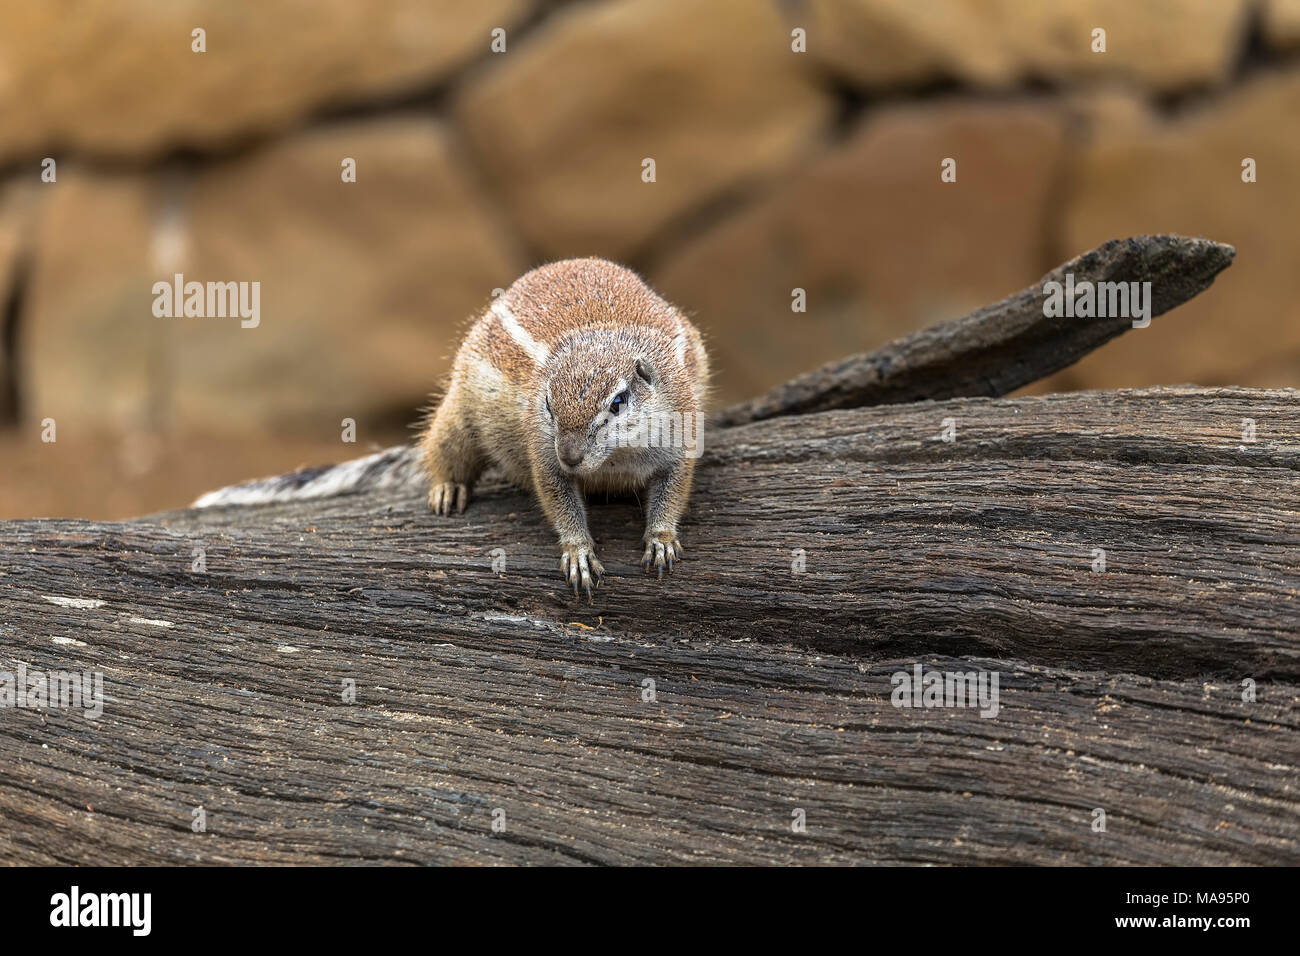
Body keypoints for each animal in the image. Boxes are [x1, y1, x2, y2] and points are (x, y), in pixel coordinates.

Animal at [418, 258, 709, 598]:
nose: (569, 457)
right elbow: (559, 501)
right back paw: (448, 488)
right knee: (447, 447)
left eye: (618, 402)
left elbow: (672, 490)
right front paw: (578, 552)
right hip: (460, 411)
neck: (616, 459)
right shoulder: (544, 453)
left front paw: (660, 539)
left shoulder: (681, 435)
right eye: (547, 402)